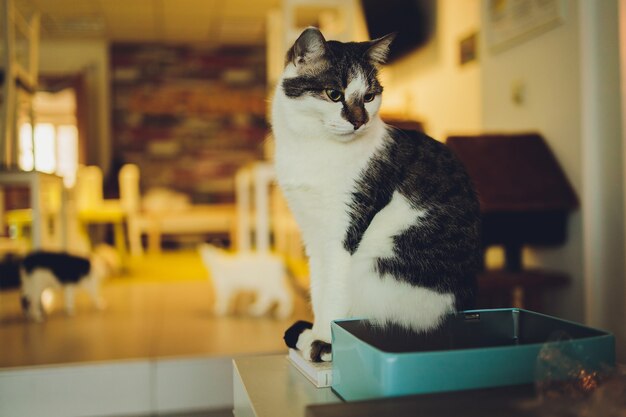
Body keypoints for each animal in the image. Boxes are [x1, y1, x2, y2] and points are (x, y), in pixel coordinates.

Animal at [270, 28, 480, 360]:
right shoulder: (314, 236)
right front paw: (315, 332)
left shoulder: (343, 234)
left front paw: (324, 342)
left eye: (369, 96)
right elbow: (319, 290)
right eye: (334, 93)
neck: (315, 147)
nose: (359, 121)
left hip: (376, 269)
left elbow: (333, 294)